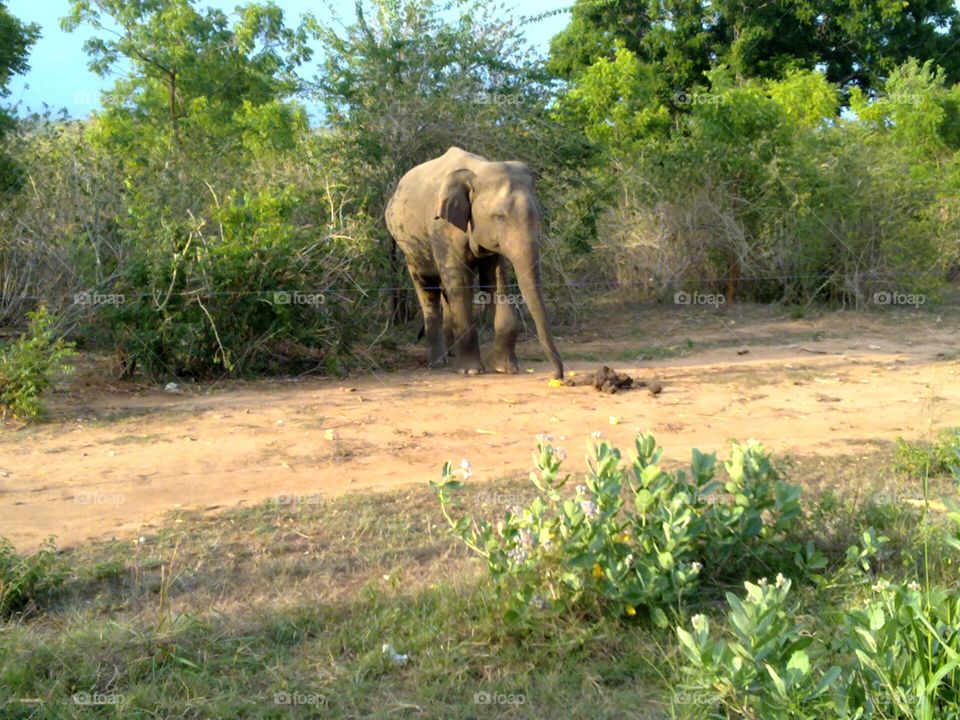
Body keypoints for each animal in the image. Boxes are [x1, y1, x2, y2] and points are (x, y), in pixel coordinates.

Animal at [382, 148, 564, 380]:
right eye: (499, 217)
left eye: (537, 214)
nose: (556, 377)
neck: (477, 171)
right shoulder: (443, 228)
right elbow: (460, 284)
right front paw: (470, 371)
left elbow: (495, 281)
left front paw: (506, 369)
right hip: (409, 245)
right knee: (428, 287)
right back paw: (437, 362)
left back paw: (451, 354)